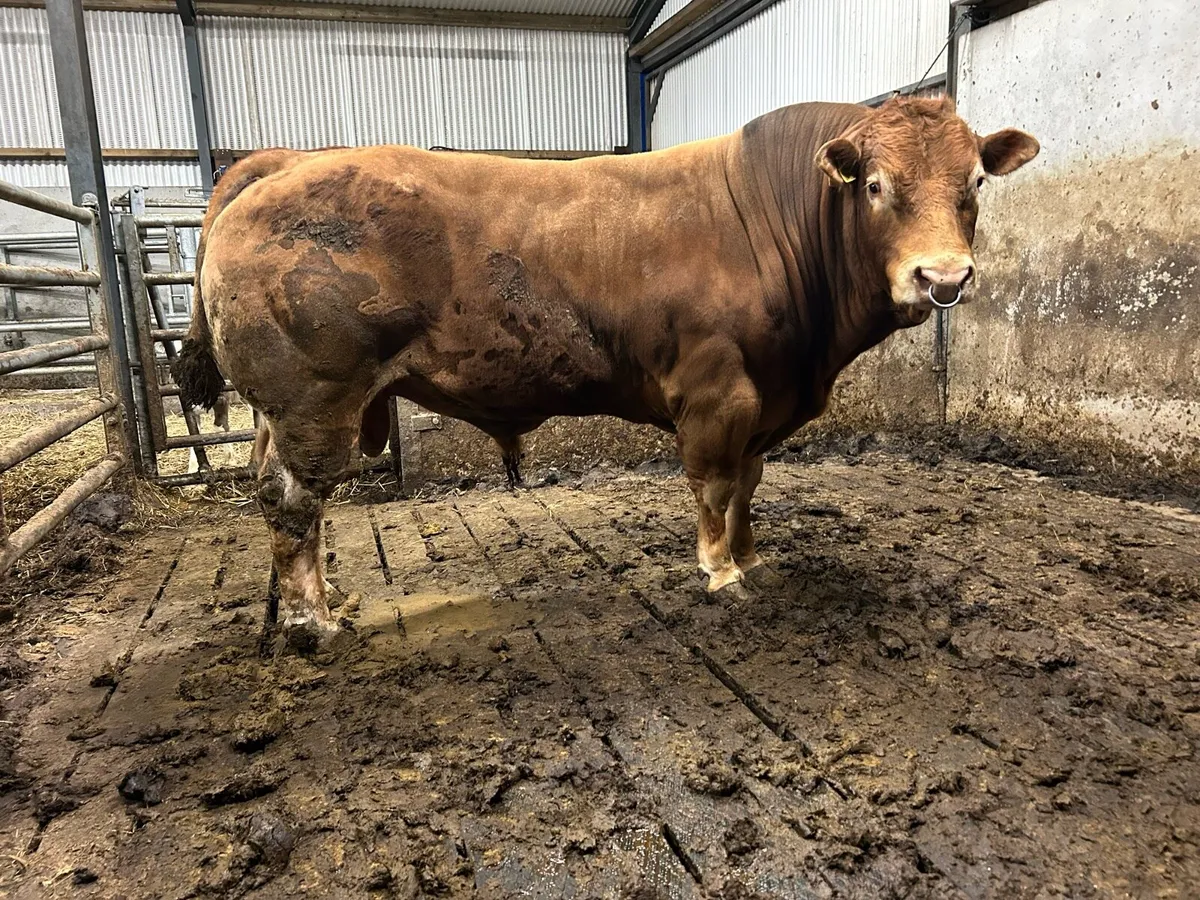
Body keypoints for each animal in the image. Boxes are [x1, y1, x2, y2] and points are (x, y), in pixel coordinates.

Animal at [173, 95, 1038, 647]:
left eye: (975, 183)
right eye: (877, 186)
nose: (943, 277)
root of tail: (284, 163)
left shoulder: (765, 399)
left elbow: (749, 485)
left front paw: (752, 556)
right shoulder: (717, 390)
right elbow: (715, 485)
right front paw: (720, 572)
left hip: (283, 410)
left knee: (283, 496)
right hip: (315, 401)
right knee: (293, 500)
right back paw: (312, 622)